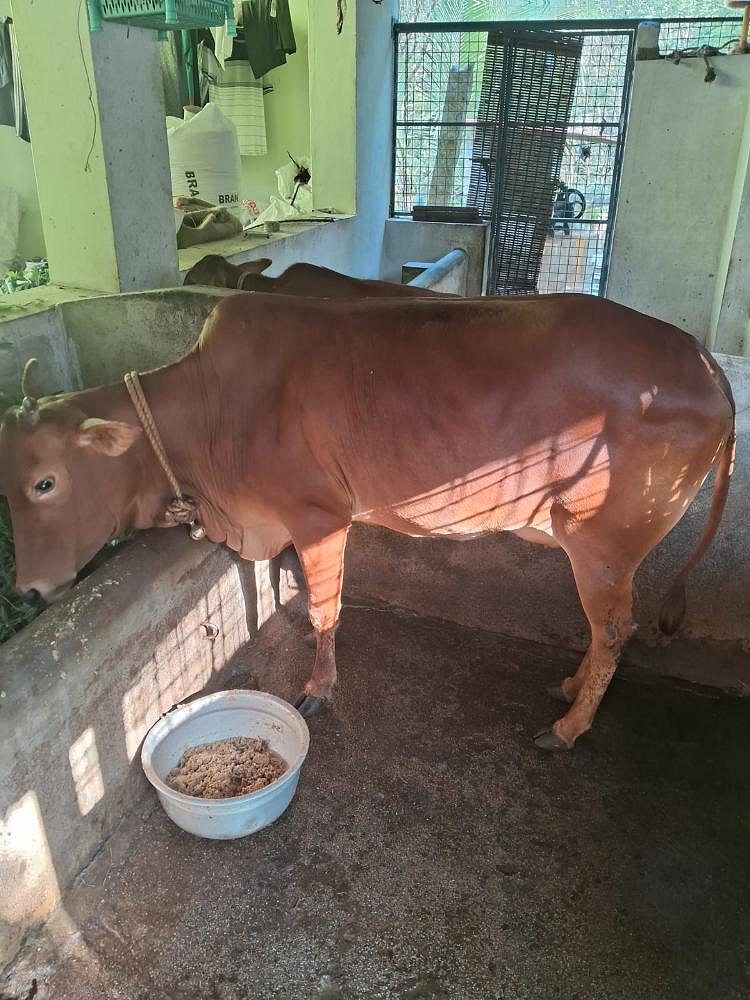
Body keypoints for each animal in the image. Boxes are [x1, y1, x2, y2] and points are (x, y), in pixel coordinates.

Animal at [0, 293, 735, 750]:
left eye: (46, 482)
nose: (28, 589)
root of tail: (705, 363)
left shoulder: (319, 517)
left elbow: (324, 607)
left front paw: (318, 689)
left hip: (603, 540)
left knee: (613, 630)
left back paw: (569, 727)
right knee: (605, 631)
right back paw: (570, 688)